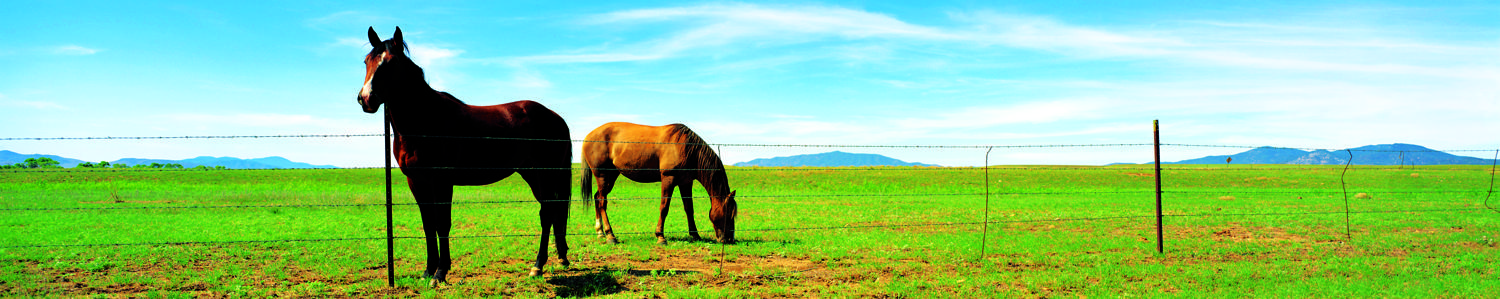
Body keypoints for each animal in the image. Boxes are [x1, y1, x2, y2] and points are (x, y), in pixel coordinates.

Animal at [357, 26, 573, 282]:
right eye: (366, 61)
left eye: (391, 63)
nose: (365, 99)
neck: (425, 119)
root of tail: (556, 118)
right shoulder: (417, 182)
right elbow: (428, 224)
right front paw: (428, 270)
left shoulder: (442, 181)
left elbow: (442, 223)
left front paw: (441, 272)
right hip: (533, 175)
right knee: (551, 211)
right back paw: (557, 259)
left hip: (545, 174)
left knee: (547, 212)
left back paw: (538, 265)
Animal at [579, 121, 738, 244]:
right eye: (728, 213)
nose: (729, 239)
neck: (687, 148)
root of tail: (588, 137)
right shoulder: (668, 178)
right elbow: (664, 207)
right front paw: (660, 237)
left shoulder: (685, 182)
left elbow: (689, 208)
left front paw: (695, 235)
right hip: (602, 176)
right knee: (602, 202)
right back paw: (610, 235)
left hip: (611, 177)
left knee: (597, 197)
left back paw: (600, 232)